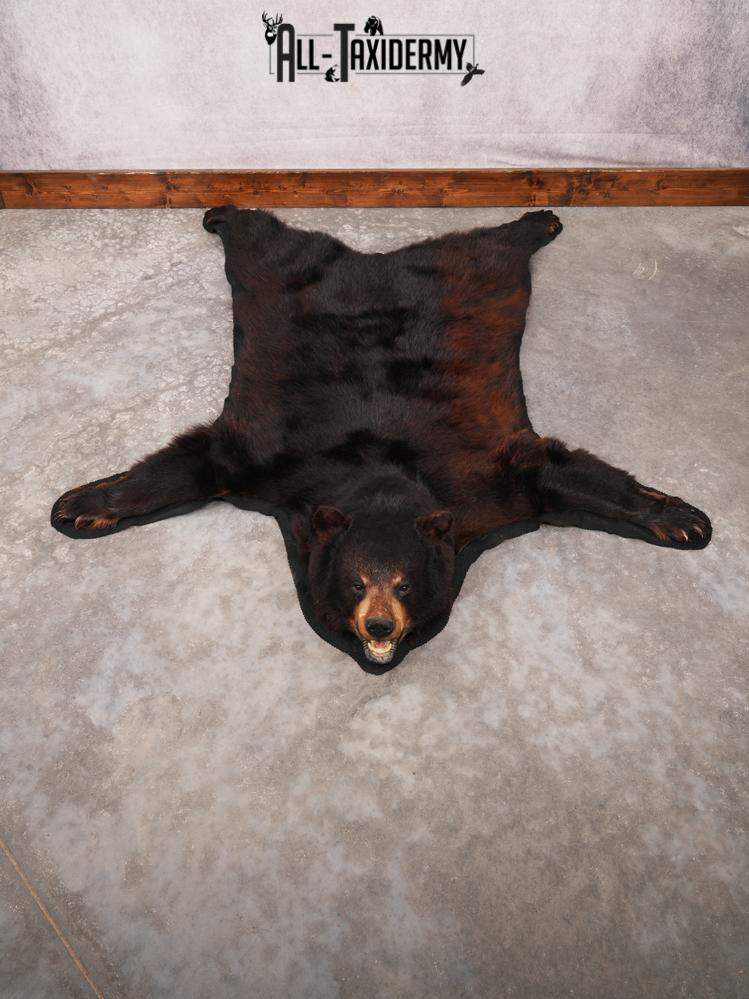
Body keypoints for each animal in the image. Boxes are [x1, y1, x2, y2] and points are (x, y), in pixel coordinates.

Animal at [51, 207, 711, 672]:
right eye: (355, 583)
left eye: (404, 583)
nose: (379, 627)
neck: (381, 478)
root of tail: (376, 262)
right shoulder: (277, 462)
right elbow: (202, 460)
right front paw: (81, 505)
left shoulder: (482, 481)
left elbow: (552, 470)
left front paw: (682, 518)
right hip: (286, 274)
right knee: (266, 240)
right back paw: (221, 214)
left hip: (470, 272)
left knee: (490, 245)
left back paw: (539, 220)